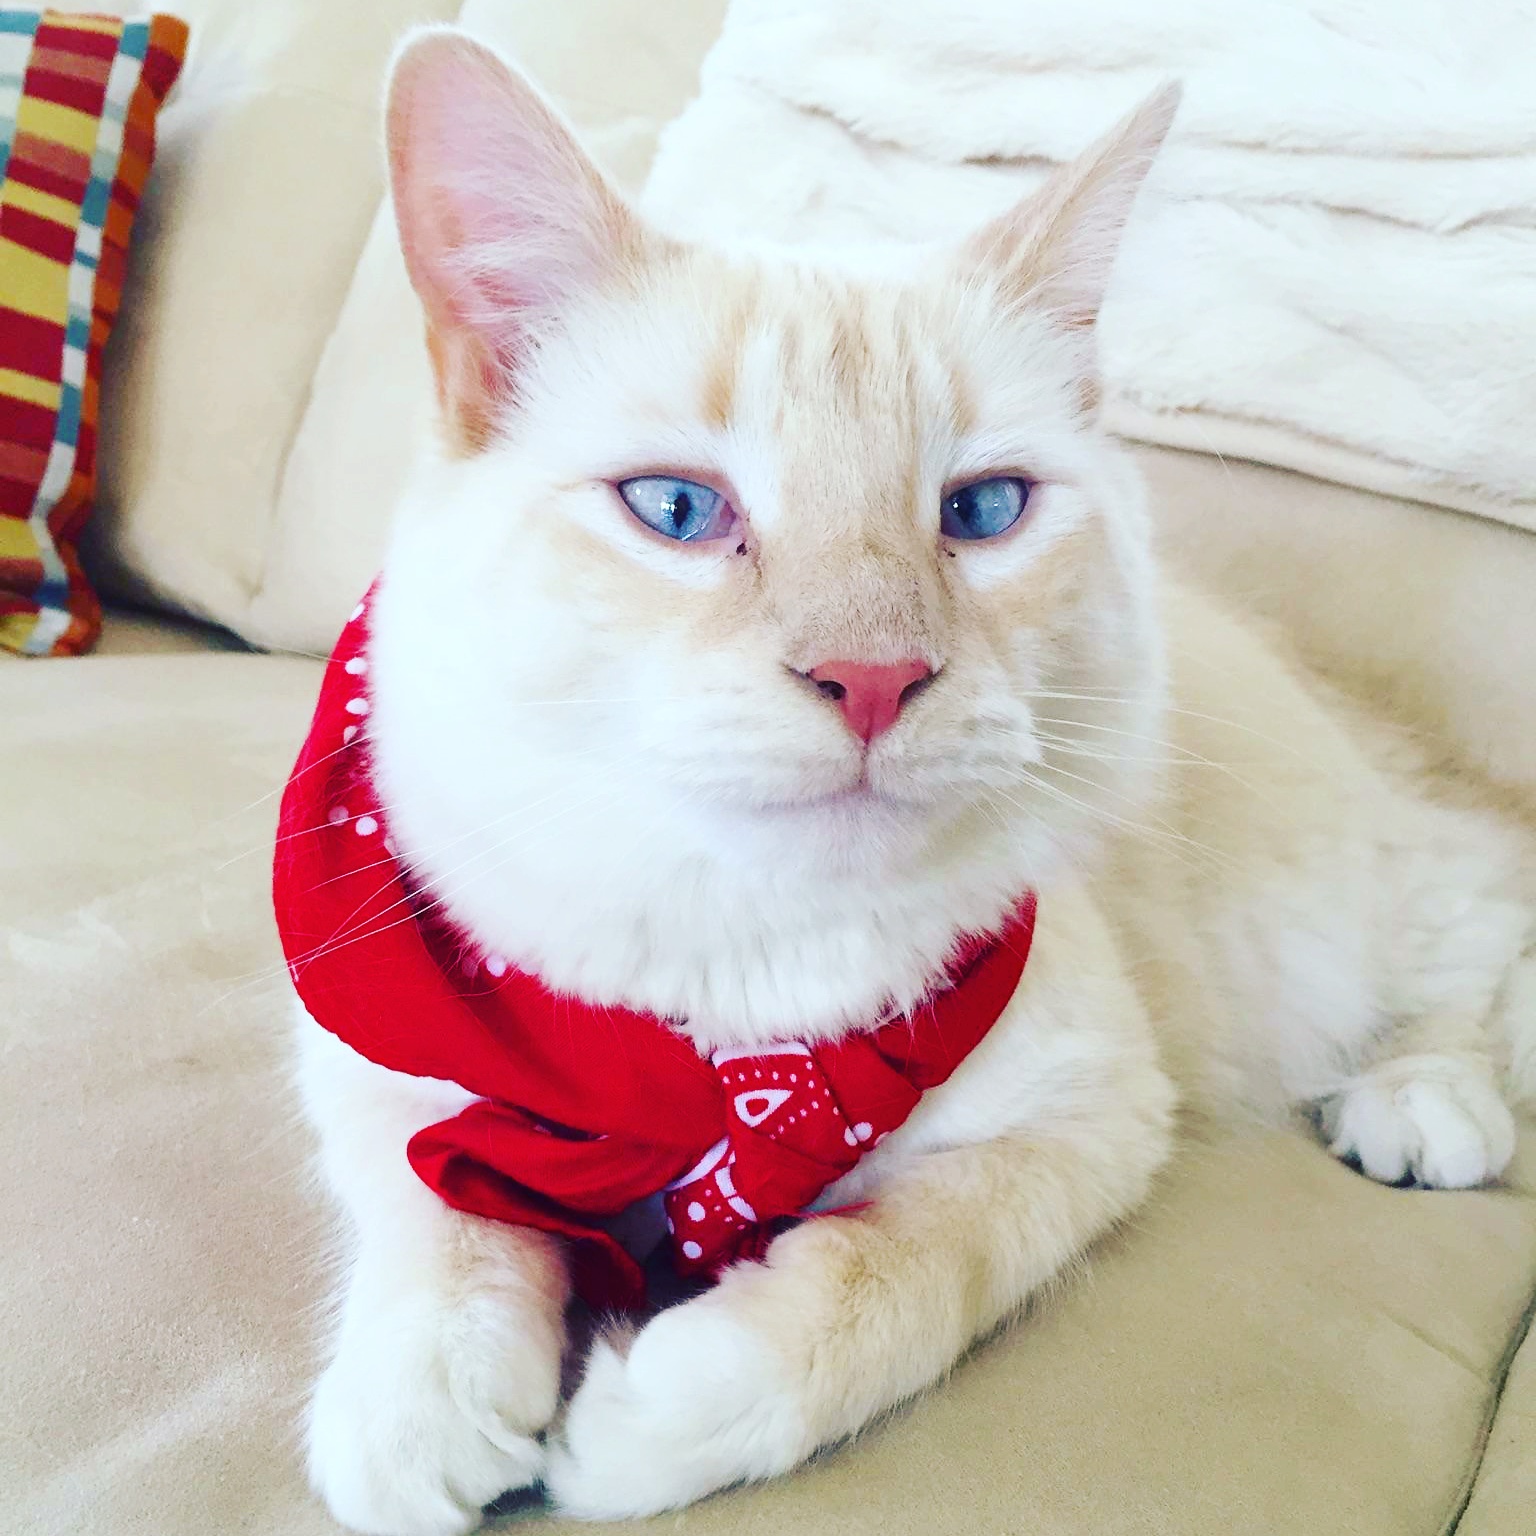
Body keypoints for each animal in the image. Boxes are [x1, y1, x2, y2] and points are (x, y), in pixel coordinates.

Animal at [289, 25, 1536, 1534]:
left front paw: (660, 1412)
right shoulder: (395, 1016)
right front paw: (420, 1396)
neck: (736, 988)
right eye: (678, 512)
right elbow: (435, 1203)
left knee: (1474, 939)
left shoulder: (1088, 1118)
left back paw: (1418, 1106)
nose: (874, 680)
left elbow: (888, 1273)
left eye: (983, 512)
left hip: (1351, 898)